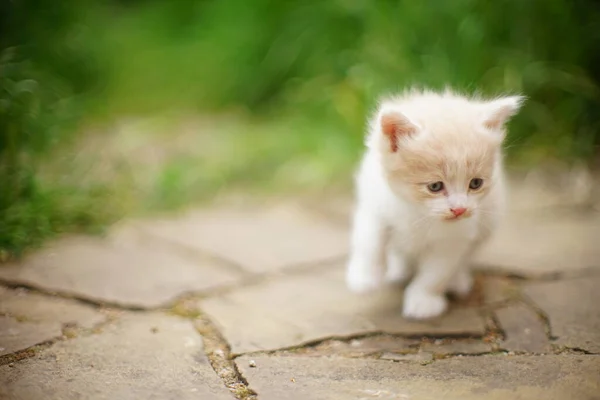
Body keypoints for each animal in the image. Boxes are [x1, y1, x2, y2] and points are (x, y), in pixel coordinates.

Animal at [344, 90, 524, 318]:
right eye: (435, 186)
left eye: (475, 183)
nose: (459, 209)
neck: (417, 211)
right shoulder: (374, 203)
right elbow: (370, 242)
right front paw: (364, 278)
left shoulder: (455, 237)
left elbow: (436, 272)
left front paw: (423, 301)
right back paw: (398, 269)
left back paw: (457, 280)